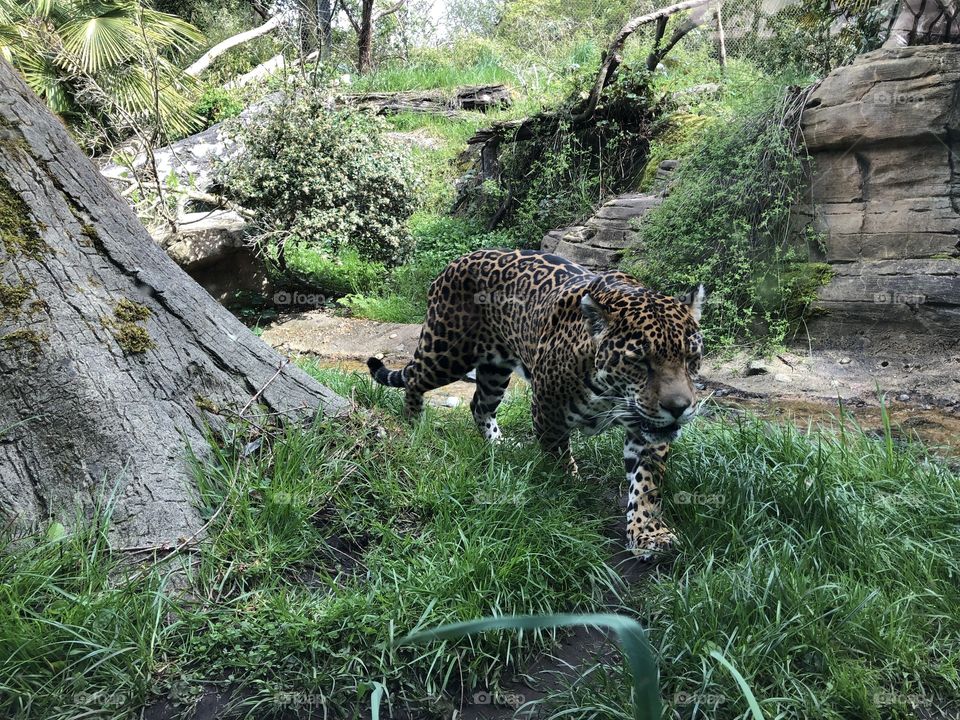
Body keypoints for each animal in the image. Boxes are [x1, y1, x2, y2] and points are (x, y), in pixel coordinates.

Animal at [367, 248, 705, 560]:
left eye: (691, 358)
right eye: (639, 362)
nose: (679, 408)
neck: (611, 393)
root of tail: (456, 262)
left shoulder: (647, 429)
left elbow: (646, 483)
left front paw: (648, 533)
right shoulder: (547, 410)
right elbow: (558, 461)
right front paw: (569, 498)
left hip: (494, 369)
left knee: (479, 404)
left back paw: (498, 444)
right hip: (447, 352)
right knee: (414, 378)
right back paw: (414, 425)